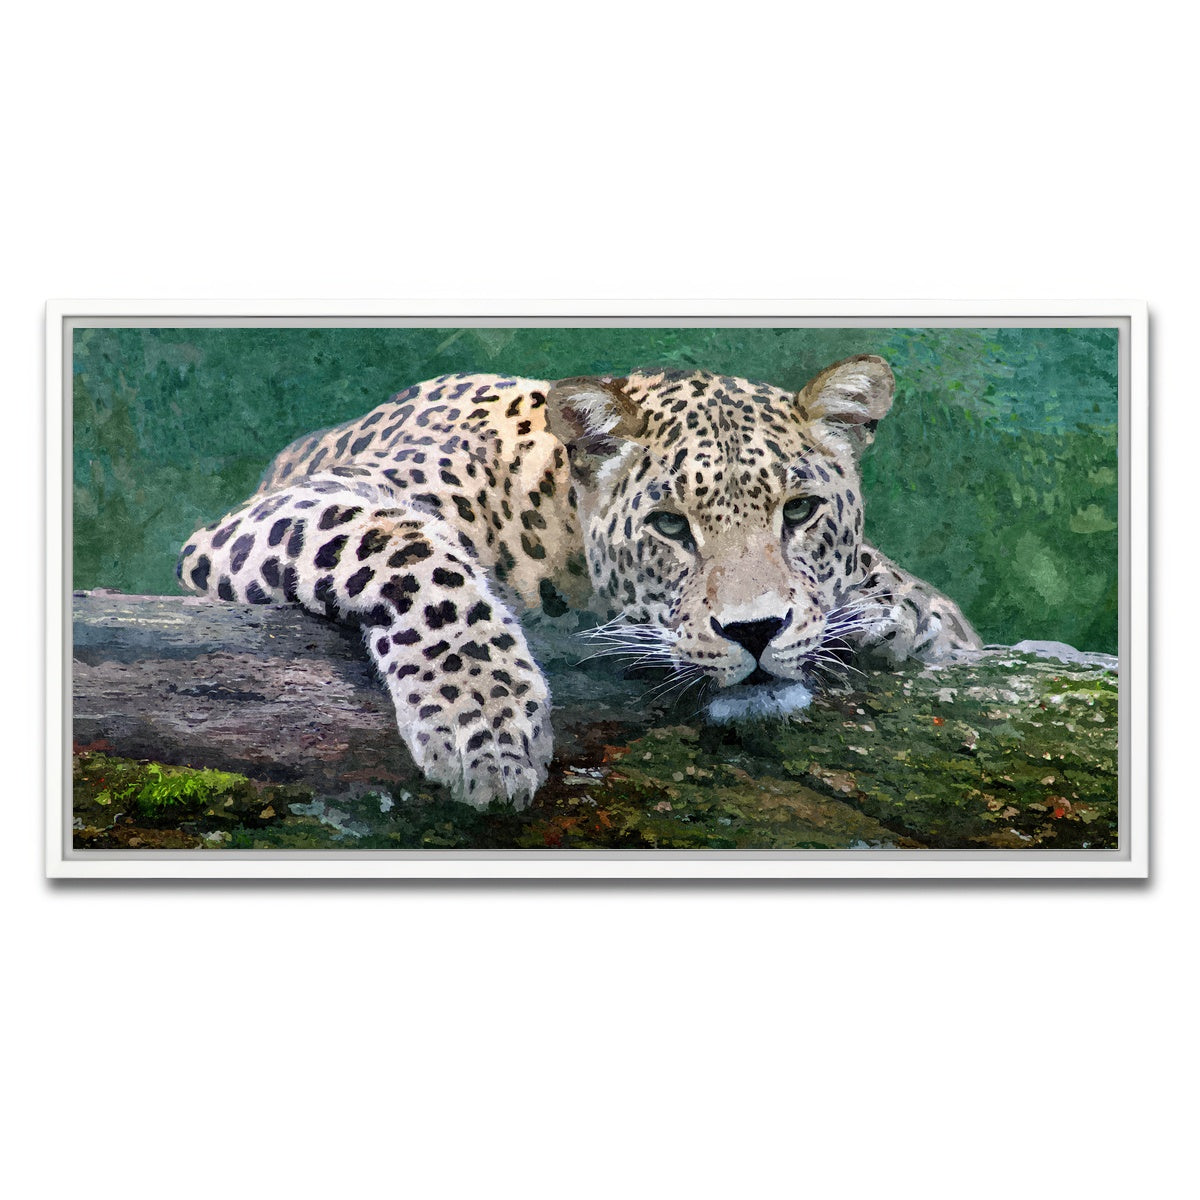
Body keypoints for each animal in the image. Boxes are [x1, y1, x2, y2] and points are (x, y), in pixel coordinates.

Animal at [178, 354, 981, 809]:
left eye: (801, 511)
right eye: (669, 526)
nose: (754, 631)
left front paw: (901, 613)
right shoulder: (291, 508)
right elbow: (412, 552)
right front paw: (486, 727)